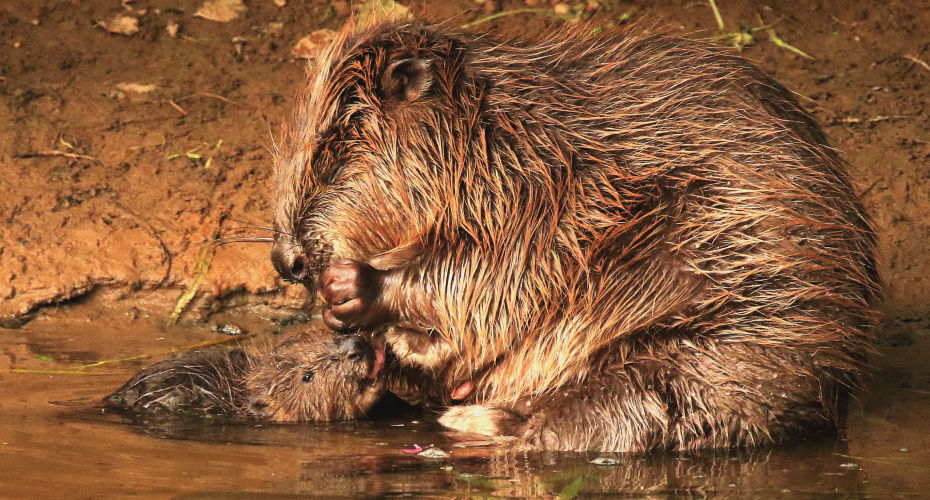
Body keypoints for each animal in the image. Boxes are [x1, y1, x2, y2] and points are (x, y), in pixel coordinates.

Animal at [270, 22, 880, 451]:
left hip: (719, 344)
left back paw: (478, 417)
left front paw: (353, 288)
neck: (493, 133)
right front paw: (365, 329)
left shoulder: (544, 195)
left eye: (330, 160)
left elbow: (494, 279)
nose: (284, 260)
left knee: (617, 413)